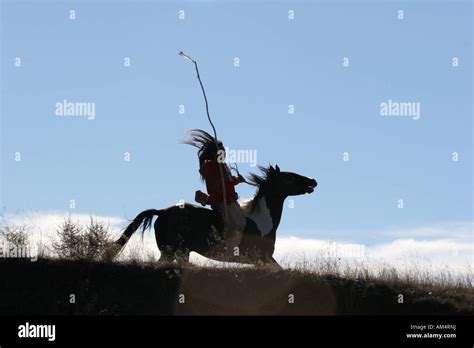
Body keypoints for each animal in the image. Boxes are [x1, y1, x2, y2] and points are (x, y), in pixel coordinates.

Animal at [113, 164, 316, 268]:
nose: (313, 181)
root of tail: (161, 211)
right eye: (290, 177)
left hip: (177, 252)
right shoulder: (261, 258)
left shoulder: (264, 260)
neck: (262, 220)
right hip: (173, 251)